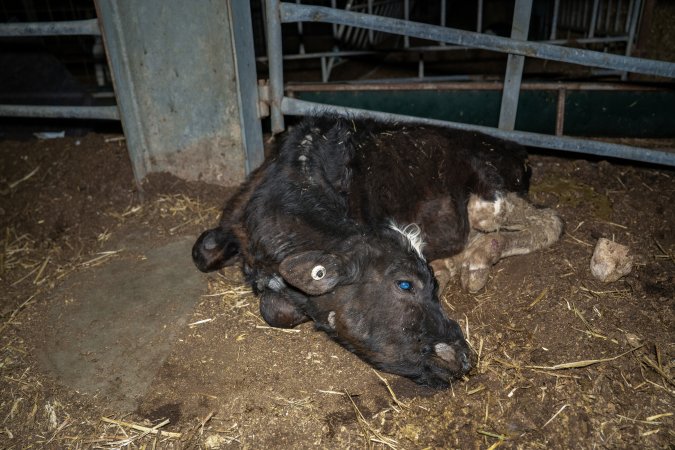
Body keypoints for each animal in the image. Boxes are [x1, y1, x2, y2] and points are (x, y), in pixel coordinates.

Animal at [192, 116, 563, 387]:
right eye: (405, 284)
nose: (462, 356)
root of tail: (514, 146)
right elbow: (206, 253)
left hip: (492, 193)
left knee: (547, 221)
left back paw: (479, 259)